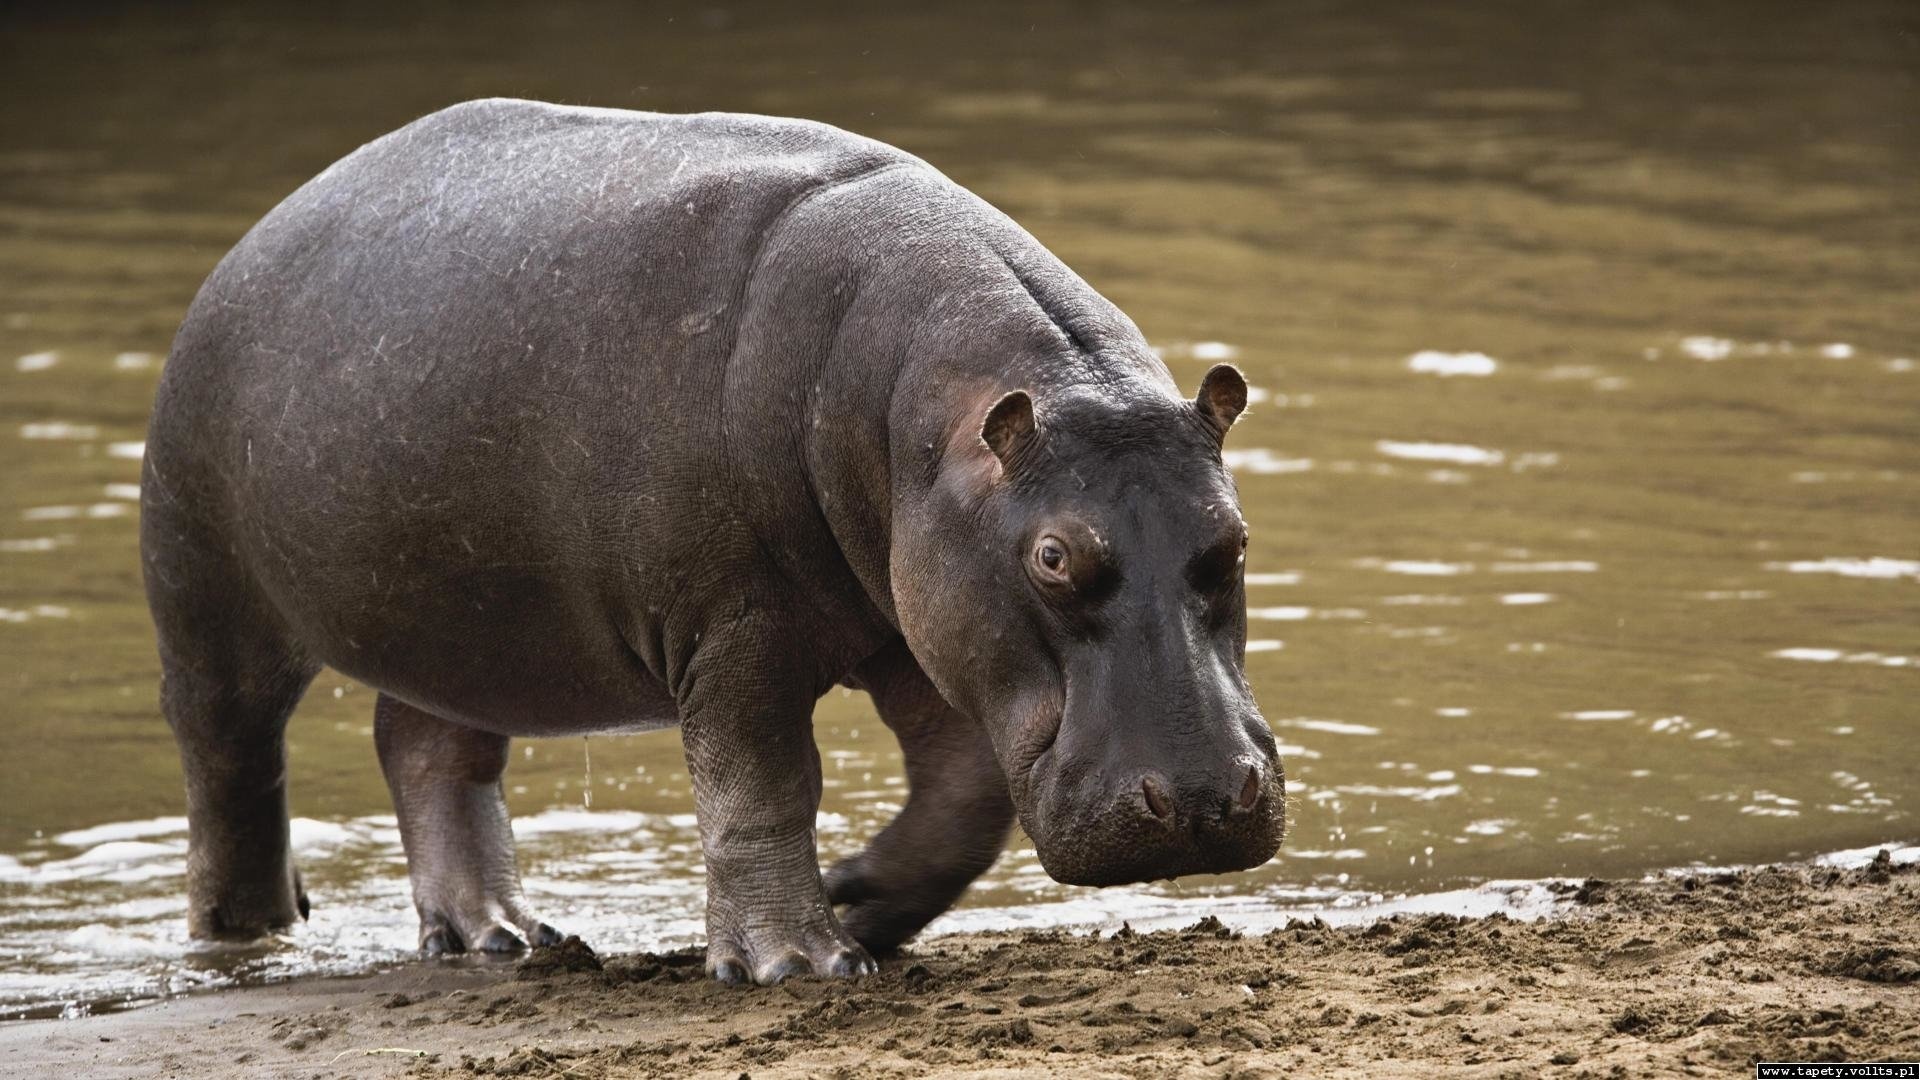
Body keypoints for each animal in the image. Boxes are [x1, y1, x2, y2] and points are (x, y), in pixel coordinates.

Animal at [142, 96, 1282, 980]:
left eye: (1233, 537)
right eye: (1053, 557)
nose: (1200, 797)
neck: (929, 419)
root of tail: (257, 235)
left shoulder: (921, 624)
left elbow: (963, 797)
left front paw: (858, 899)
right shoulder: (735, 630)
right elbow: (762, 786)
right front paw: (799, 962)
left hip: (462, 623)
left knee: (427, 749)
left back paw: (497, 937)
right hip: (207, 595)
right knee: (230, 768)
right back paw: (245, 937)